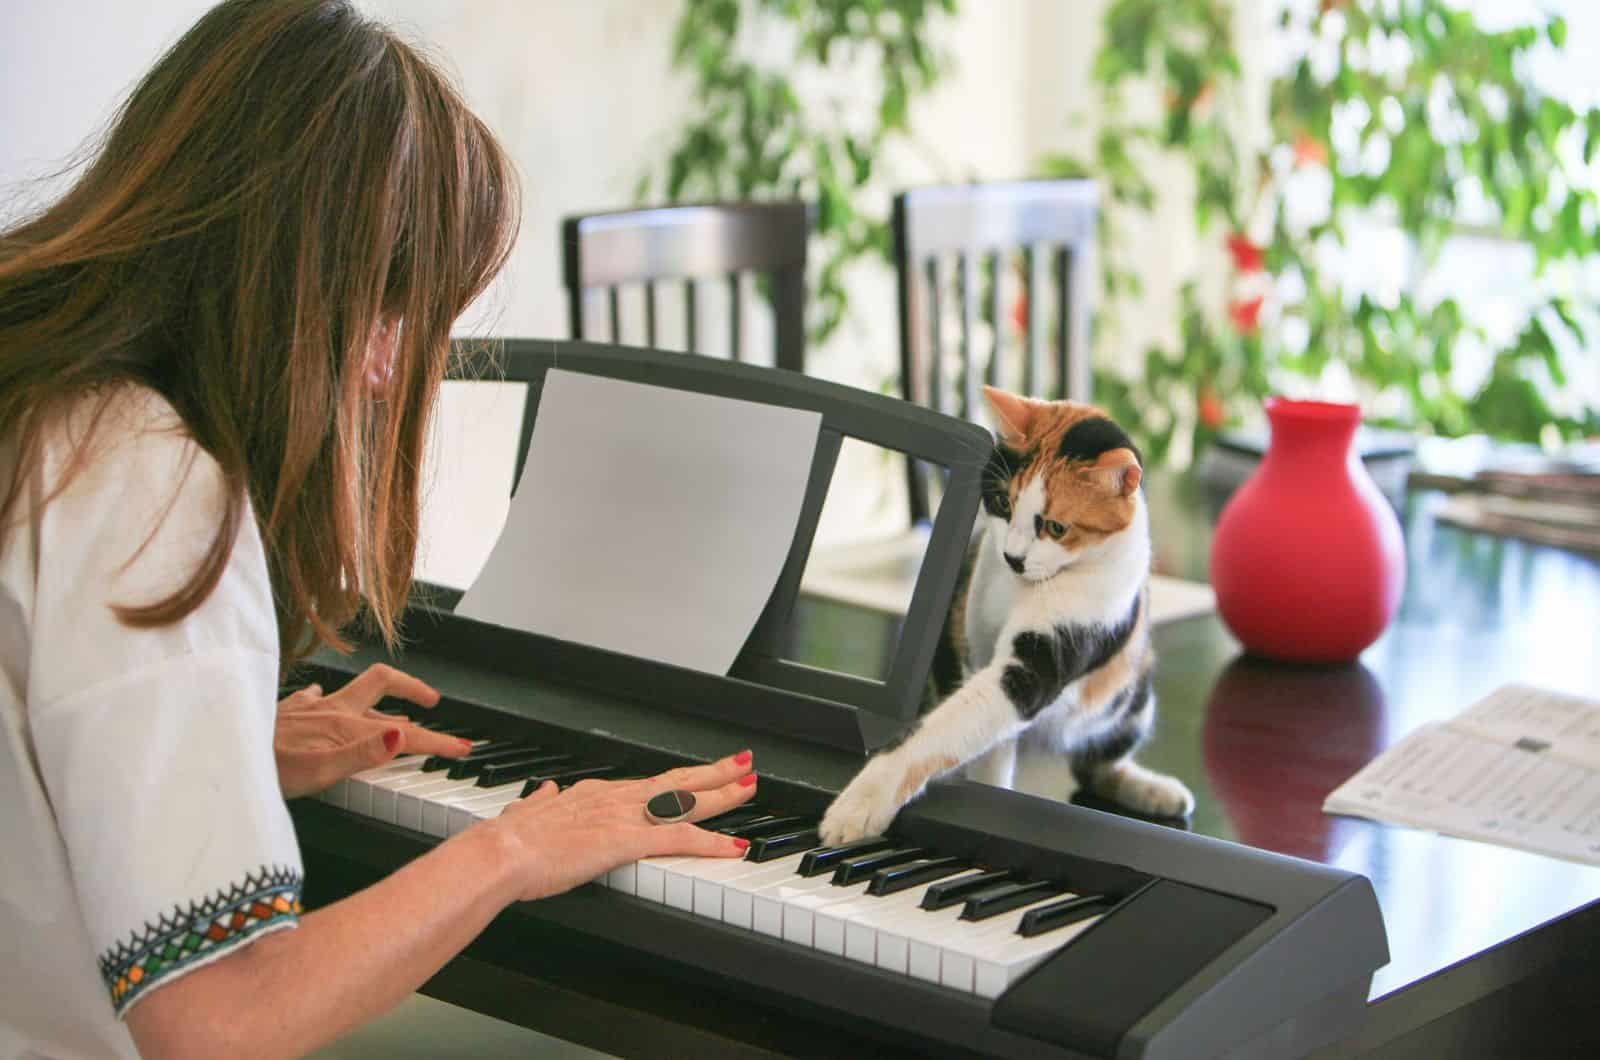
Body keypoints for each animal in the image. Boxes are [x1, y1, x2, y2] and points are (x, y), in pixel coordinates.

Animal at [825, 390, 1190, 845]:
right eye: (1003, 502)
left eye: (1056, 527)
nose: (1013, 557)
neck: (1025, 587)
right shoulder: (973, 647)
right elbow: (979, 738)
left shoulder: (1057, 644)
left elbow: (956, 722)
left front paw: (861, 802)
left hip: (1134, 693)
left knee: (1097, 765)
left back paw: (1157, 791)